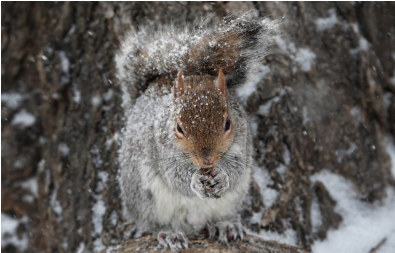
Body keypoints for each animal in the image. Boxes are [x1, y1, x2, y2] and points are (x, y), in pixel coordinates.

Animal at [114, 11, 282, 251]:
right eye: (178, 127)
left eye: (228, 123)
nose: (207, 161)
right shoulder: (162, 151)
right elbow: (175, 176)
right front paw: (194, 180)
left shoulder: (242, 144)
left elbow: (236, 169)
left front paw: (221, 176)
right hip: (144, 198)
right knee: (152, 223)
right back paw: (169, 233)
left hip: (231, 201)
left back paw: (225, 225)